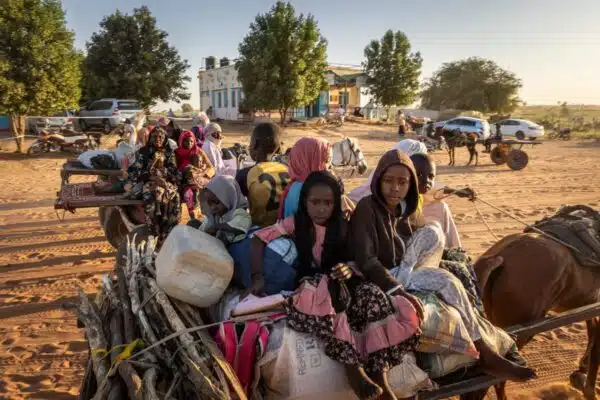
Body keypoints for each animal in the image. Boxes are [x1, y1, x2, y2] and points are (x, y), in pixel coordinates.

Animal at [474, 233, 600, 398]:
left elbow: (593, 335)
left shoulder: (589, 304)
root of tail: (501, 256)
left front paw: (582, 371)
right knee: (496, 377)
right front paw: (590, 390)